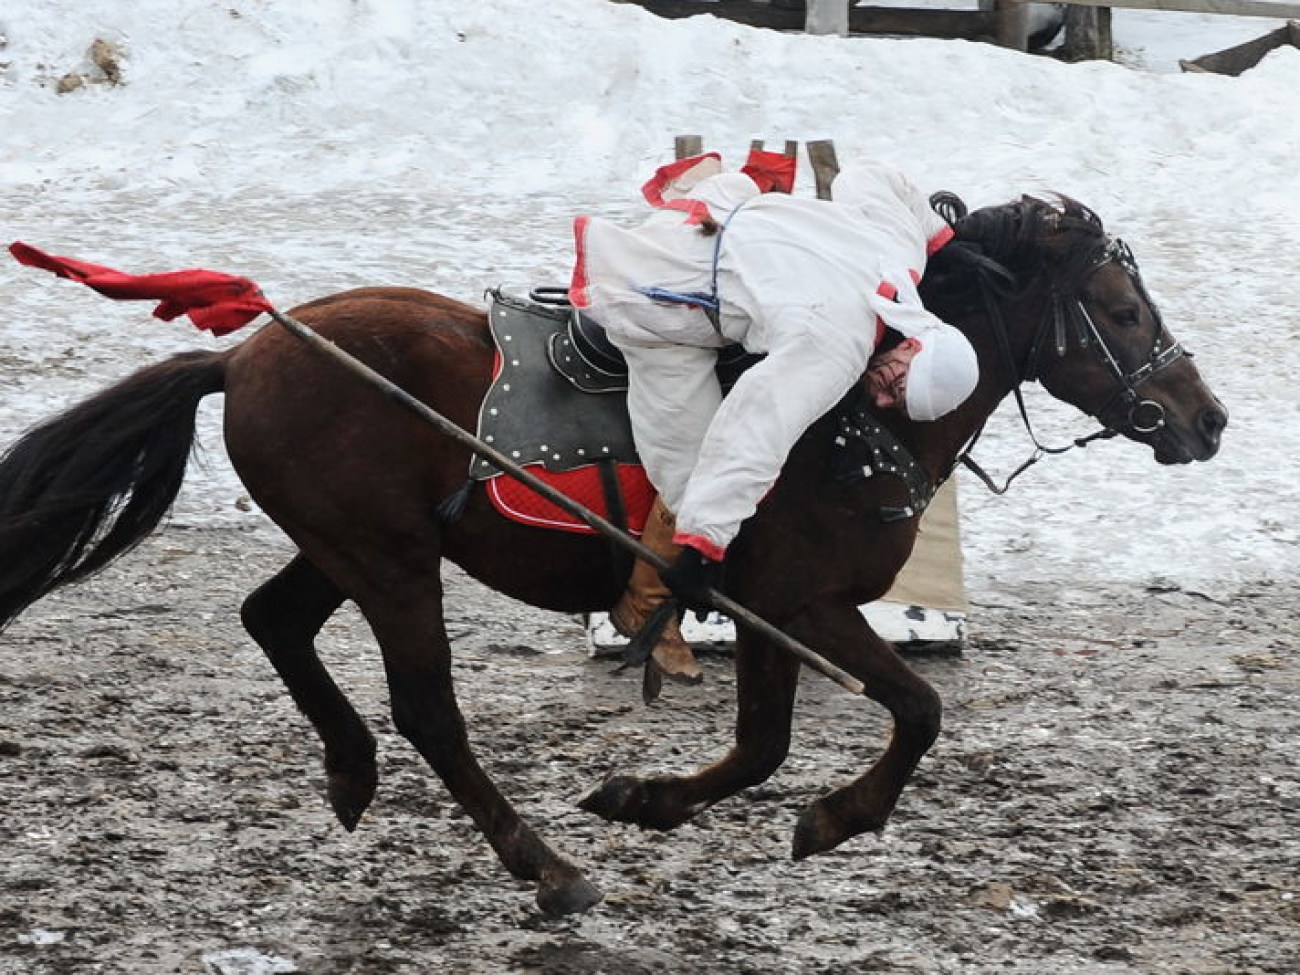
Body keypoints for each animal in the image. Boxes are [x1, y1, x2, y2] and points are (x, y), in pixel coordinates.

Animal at [0, 196, 1222, 915]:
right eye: (1121, 308)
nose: (1203, 419)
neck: (849, 422)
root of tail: (250, 349)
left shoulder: (769, 610)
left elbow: (765, 746)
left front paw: (648, 797)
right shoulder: (803, 602)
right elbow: (912, 713)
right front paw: (833, 817)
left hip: (352, 546)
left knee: (274, 621)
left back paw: (351, 771)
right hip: (388, 561)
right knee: (427, 708)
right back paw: (542, 866)